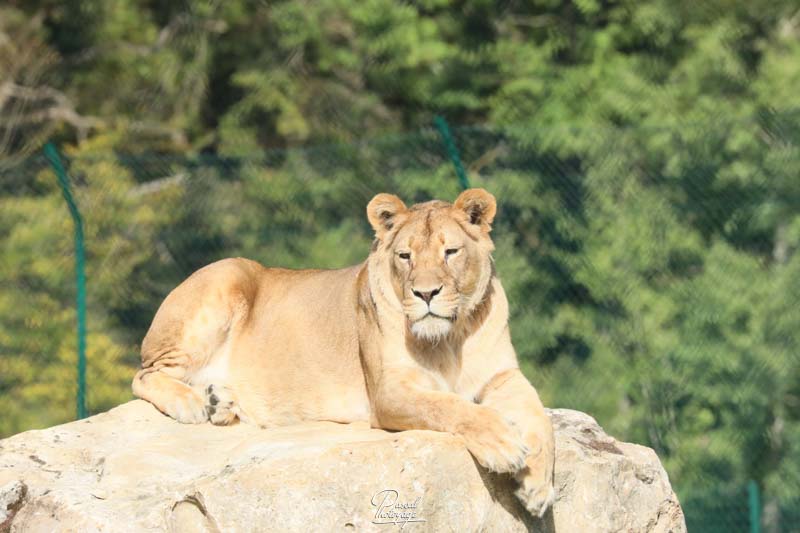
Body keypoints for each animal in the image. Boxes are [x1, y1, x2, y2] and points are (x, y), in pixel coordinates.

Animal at [133, 187, 556, 516]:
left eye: (450, 251)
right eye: (405, 256)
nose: (425, 293)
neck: (450, 339)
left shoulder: (504, 377)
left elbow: (540, 418)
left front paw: (537, 488)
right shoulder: (388, 391)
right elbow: (450, 406)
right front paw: (503, 445)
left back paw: (219, 401)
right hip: (226, 275)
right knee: (144, 375)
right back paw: (193, 403)